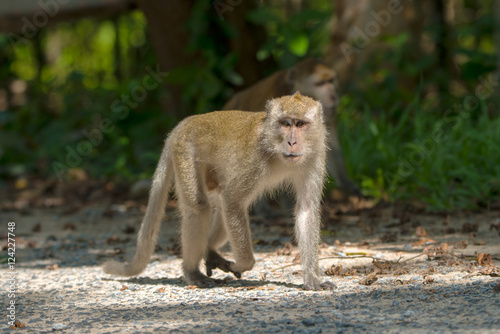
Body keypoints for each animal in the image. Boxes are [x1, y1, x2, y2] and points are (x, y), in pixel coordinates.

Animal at [103, 93, 334, 290]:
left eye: (300, 124)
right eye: (285, 123)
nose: (292, 142)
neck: (274, 150)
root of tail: (186, 123)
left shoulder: (315, 156)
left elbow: (306, 210)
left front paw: (312, 279)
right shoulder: (255, 160)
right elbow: (232, 201)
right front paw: (245, 263)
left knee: (224, 206)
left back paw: (209, 251)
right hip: (185, 153)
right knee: (201, 208)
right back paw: (191, 272)